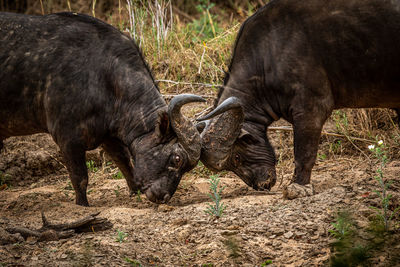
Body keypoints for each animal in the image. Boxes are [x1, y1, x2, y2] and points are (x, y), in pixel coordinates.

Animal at [0, 11, 205, 206]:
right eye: (176, 159)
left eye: (188, 168)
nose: (164, 196)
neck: (104, 78)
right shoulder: (67, 141)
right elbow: (80, 178)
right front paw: (82, 205)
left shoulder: (109, 137)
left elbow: (125, 162)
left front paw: (134, 193)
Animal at [198, 0, 400, 199]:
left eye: (237, 158)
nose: (261, 184)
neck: (270, 55)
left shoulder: (311, 110)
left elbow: (304, 152)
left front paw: (298, 186)